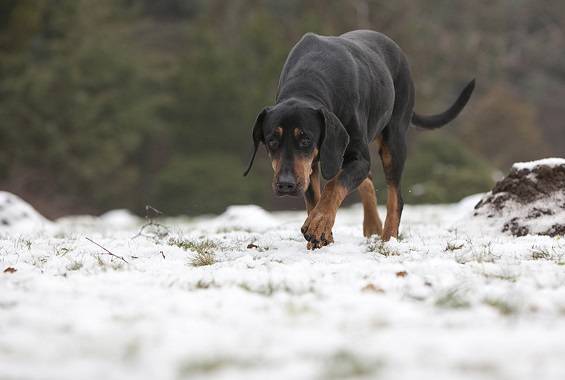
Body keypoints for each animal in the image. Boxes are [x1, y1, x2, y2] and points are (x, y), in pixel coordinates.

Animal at [243, 29, 476, 249]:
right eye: (272, 140)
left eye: (305, 139)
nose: (286, 184)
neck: (308, 82)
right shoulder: (311, 164)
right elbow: (315, 197)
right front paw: (322, 235)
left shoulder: (356, 157)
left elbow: (334, 185)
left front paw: (319, 223)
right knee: (367, 180)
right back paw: (372, 224)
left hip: (394, 139)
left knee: (395, 197)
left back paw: (388, 237)